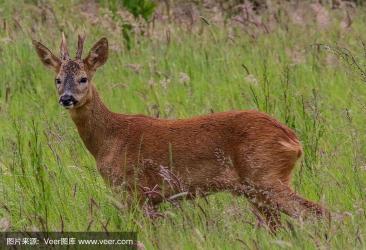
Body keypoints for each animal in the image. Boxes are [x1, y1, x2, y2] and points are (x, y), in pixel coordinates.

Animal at [32, 34, 328, 230]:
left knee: (319, 213)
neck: (109, 139)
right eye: (57, 79)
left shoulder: (134, 190)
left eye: (83, 78)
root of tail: (293, 140)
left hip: (265, 176)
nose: (67, 98)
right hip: (258, 188)